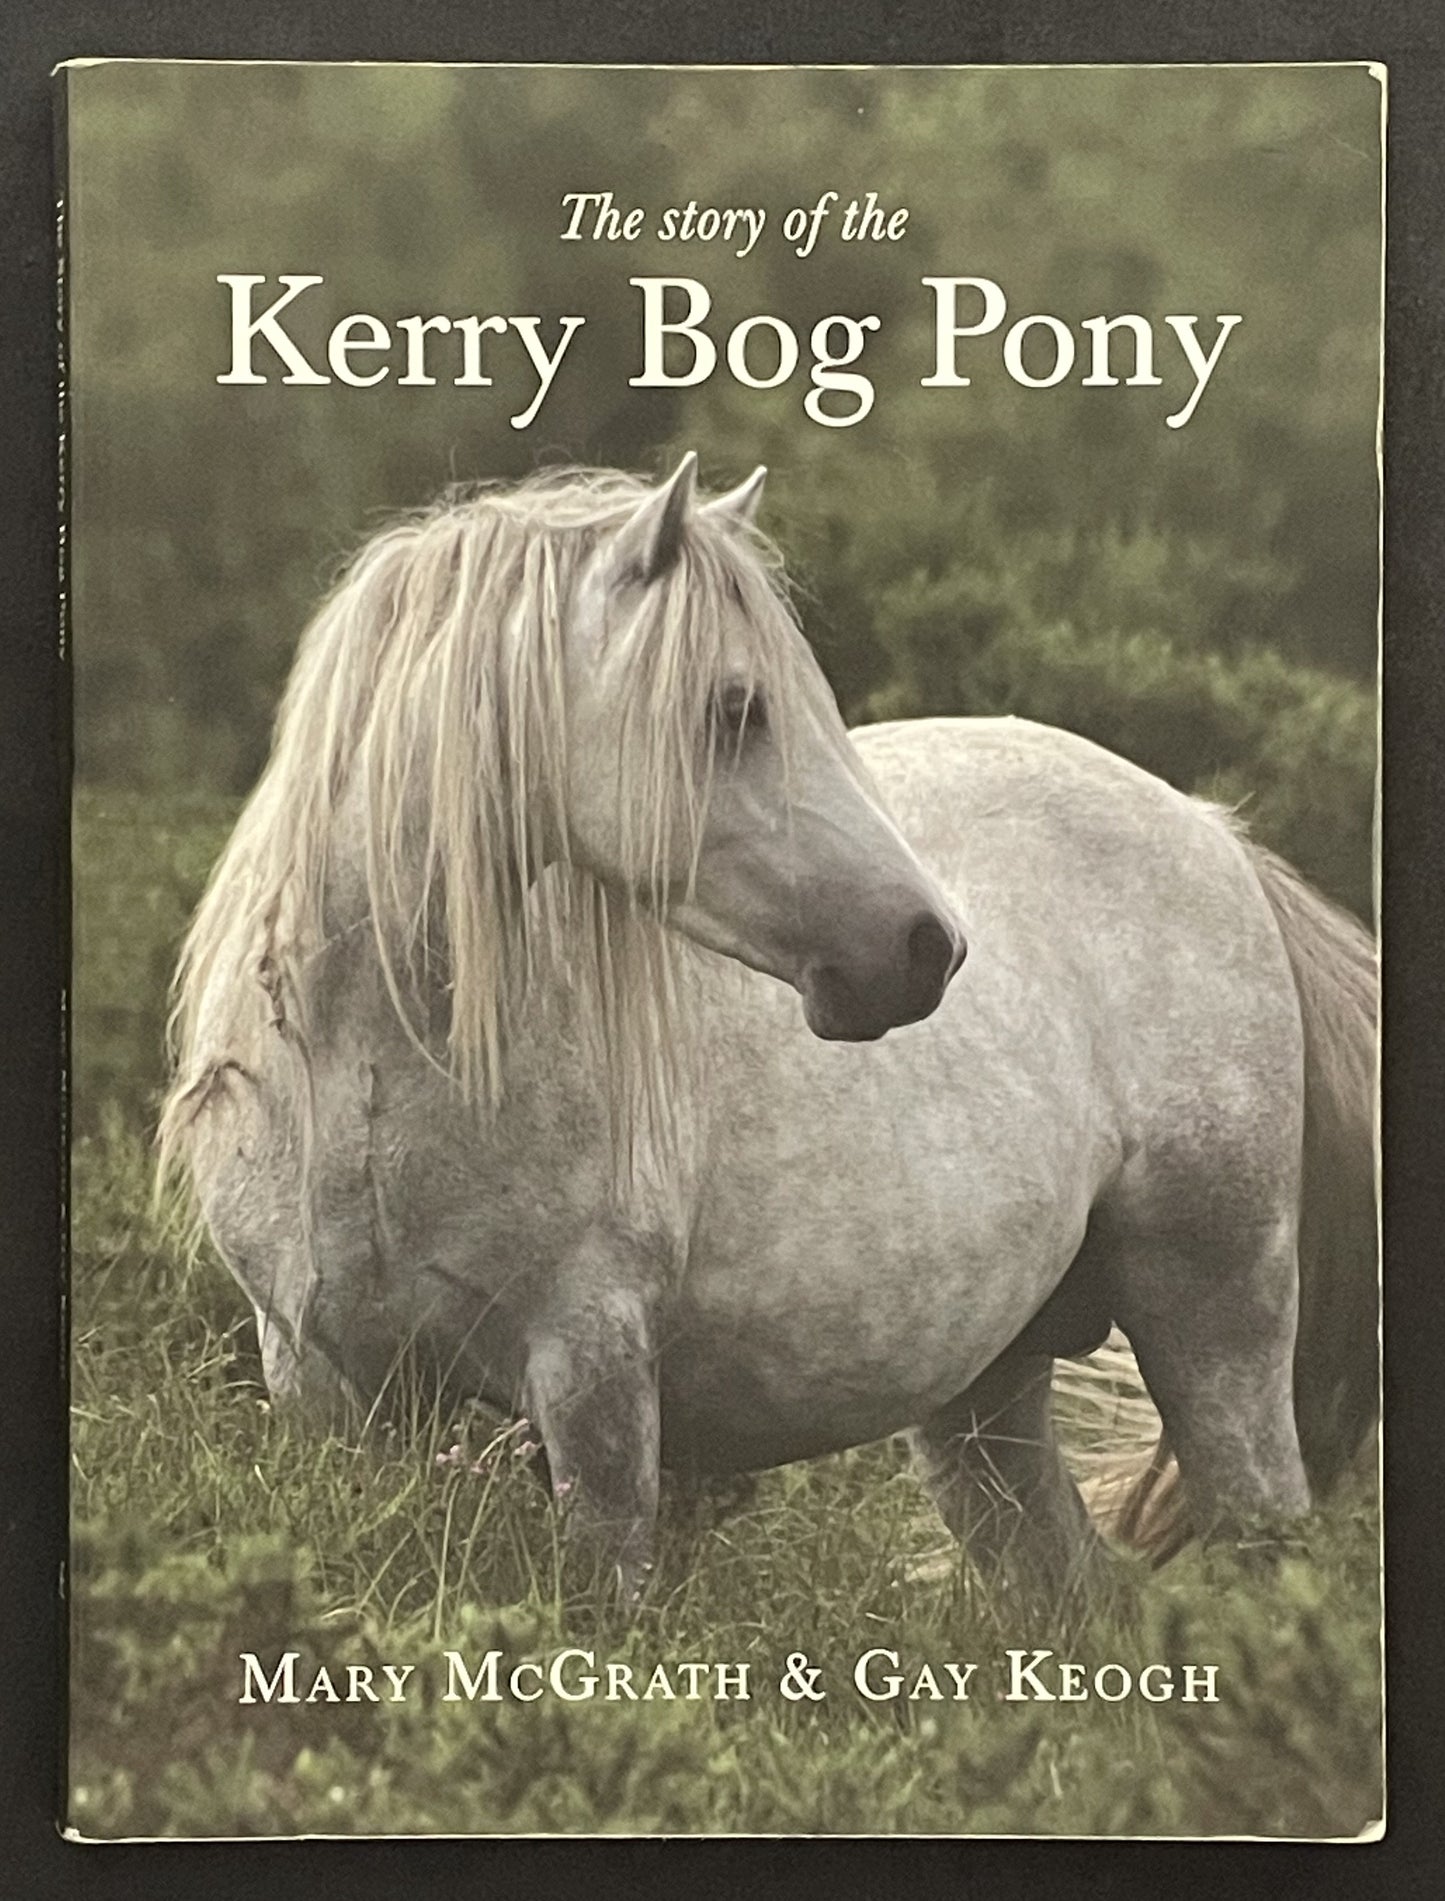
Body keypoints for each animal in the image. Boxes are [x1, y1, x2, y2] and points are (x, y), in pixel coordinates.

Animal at [160, 454, 1378, 1601]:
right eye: (736, 706)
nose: (924, 948)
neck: (375, 1077)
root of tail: (1213, 832)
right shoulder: (322, 1385)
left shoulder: (593, 1375)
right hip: (986, 1393)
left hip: (1216, 1321)